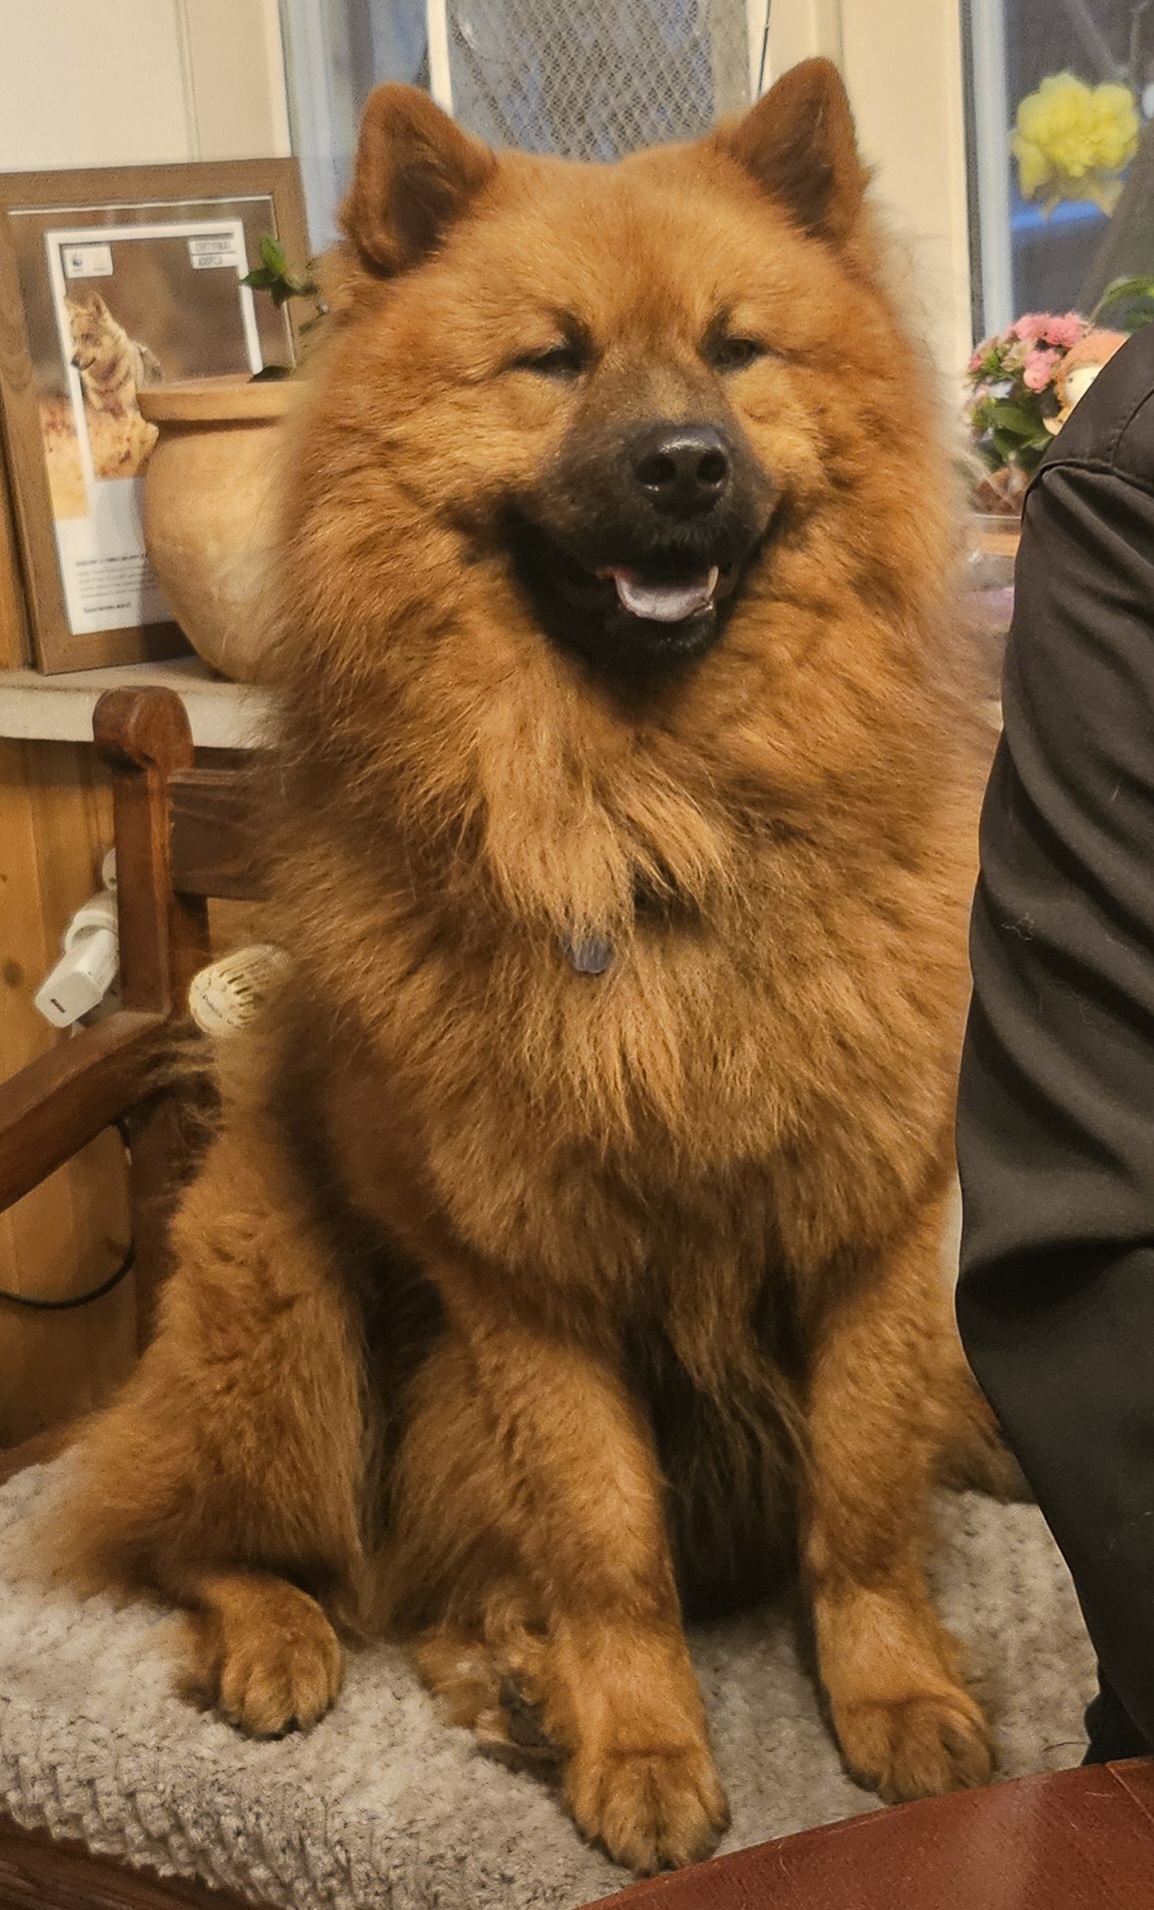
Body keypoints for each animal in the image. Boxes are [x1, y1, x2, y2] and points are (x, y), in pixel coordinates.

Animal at [48, 60, 1014, 1875]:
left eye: (734, 349)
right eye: (554, 360)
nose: (684, 466)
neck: (655, 824)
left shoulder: (871, 1225)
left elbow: (858, 1505)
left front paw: (895, 1697)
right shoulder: (528, 1281)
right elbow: (600, 1537)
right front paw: (636, 1743)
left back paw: (504, 1676)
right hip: (291, 1324)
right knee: (203, 1544)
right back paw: (299, 1645)